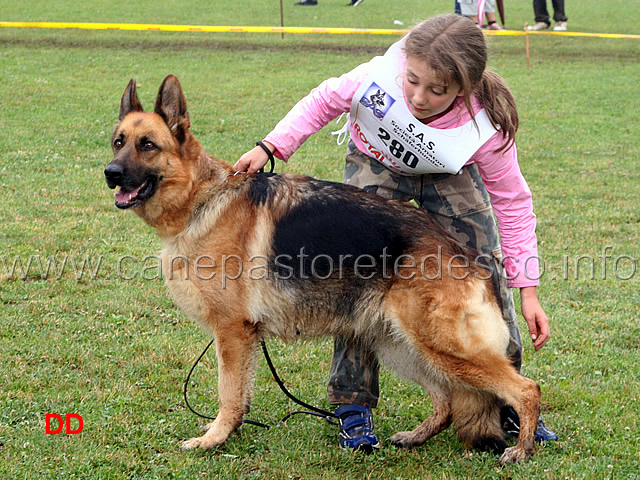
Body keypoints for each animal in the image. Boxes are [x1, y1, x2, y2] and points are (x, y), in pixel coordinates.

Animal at [104, 76, 540, 464]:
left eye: (148, 145)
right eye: (118, 142)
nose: (110, 173)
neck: (202, 197)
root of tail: (462, 252)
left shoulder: (231, 333)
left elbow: (228, 394)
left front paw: (214, 439)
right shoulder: (242, 339)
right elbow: (240, 394)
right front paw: (229, 433)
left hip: (444, 347)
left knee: (526, 389)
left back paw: (521, 450)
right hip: (402, 346)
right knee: (447, 400)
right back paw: (414, 437)